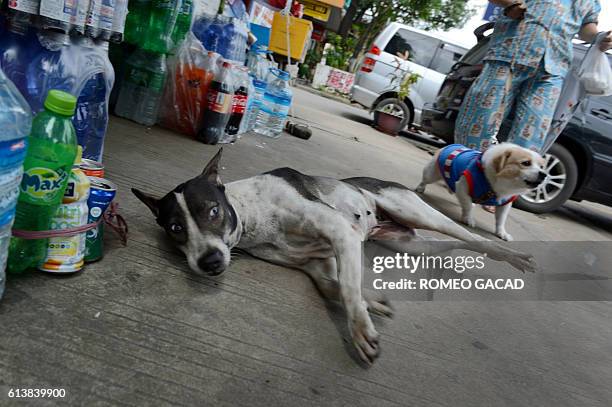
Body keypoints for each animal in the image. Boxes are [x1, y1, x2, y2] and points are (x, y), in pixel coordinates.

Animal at [133, 148, 536, 364]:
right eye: (176, 228)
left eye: (212, 211)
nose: (210, 263)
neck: (251, 214)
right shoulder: (318, 261)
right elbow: (336, 285)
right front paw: (372, 300)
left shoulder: (341, 232)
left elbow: (346, 288)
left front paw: (360, 329)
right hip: (410, 243)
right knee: (455, 244)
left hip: (413, 210)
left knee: (471, 236)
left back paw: (512, 255)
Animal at [416, 143, 544, 241]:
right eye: (526, 163)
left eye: (541, 167)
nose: (544, 174)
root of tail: (452, 145)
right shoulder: (462, 186)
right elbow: (467, 206)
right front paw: (468, 218)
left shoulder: (505, 203)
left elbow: (501, 219)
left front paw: (501, 233)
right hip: (431, 174)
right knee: (424, 180)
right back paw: (420, 188)